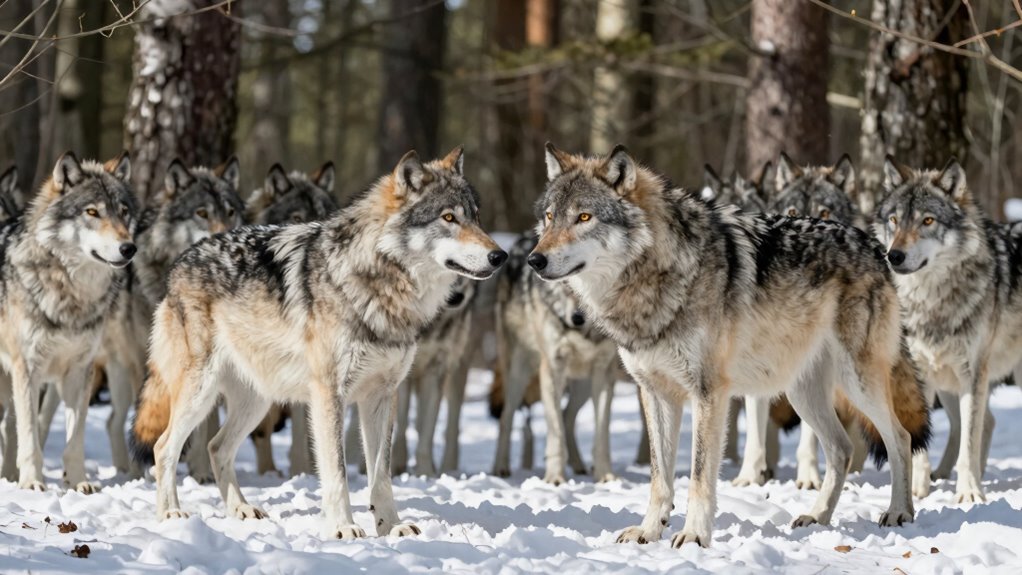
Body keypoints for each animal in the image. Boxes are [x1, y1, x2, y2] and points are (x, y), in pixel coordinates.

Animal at [0, 152, 138, 492]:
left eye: (123, 212)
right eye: (92, 212)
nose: (129, 248)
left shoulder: (79, 371)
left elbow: (75, 438)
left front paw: (79, 483)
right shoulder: (28, 370)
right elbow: (31, 437)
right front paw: (32, 483)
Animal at [130, 148, 506, 538]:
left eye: (476, 217)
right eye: (449, 217)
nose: (500, 256)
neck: (378, 284)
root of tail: (179, 263)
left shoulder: (382, 396)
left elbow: (381, 475)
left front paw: (390, 528)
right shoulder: (329, 394)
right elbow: (337, 472)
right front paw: (344, 528)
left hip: (257, 401)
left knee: (217, 446)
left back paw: (241, 510)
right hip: (200, 392)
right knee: (164, 447)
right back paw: (171, 514)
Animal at [491, 234, 619, 484]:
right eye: (565, 284)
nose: (578, 318)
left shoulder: (603, 372)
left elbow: (601, 432)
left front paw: (605, 476)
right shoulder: (551, 369)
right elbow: (555, 431)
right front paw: (555, 478)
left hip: (583, 385)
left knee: (568, 415)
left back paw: (579, 466)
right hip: (519, 373)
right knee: (506, 417)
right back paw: (500, 468)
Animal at [529, 143, 930, 547]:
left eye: (584, 217)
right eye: (549, 217)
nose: (535, 259)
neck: (656, 275)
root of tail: (875, 245)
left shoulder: (709, 393)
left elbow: (699, 474)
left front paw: (694, 536)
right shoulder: (655, 393)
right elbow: (660, 478)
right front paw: (649, 531)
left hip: (857, 382)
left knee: (899, 438)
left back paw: (899, 512)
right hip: (802, 393)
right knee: (842, 449)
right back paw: (818, 516)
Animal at [874, 156, 1022, 502]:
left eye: (927, 220)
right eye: (894, 220)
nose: (893, 255)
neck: (932, 303)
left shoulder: (974, 374)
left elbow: (969, 439)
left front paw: (969, 494)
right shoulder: (923, 373)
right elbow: (923, 438)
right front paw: (918, 490)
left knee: (980, 424)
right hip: (946, 382)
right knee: (986, 421)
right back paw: (946, 473)